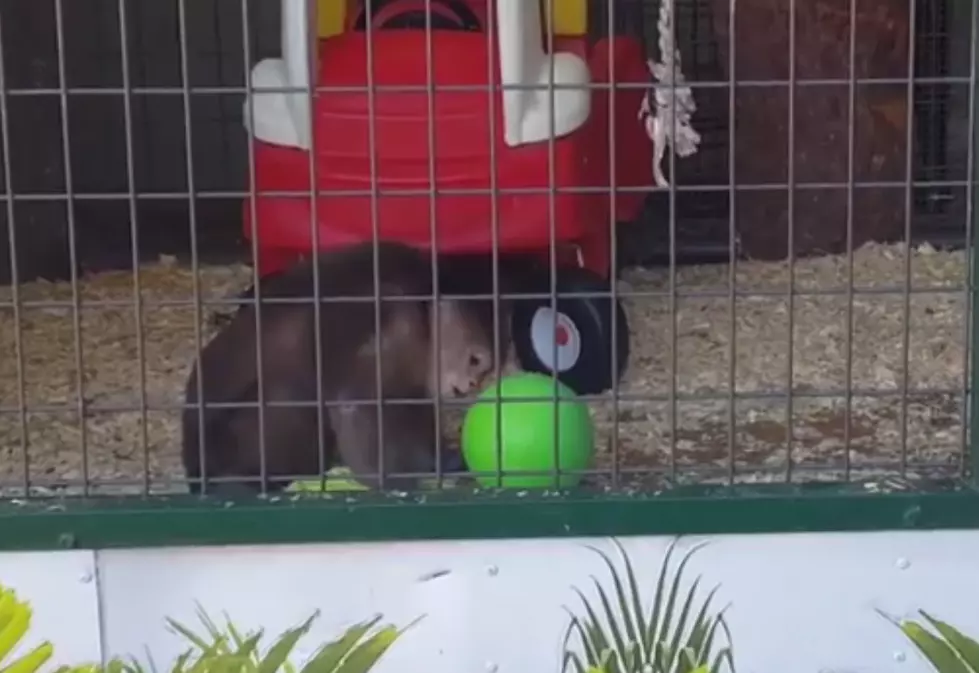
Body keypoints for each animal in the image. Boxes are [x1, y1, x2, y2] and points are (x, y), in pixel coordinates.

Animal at [181, 242, 512, 494]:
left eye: (482, 369)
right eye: (475, 360)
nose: (472, 384)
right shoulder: (395, 316)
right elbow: (358, 405)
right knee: (290, 391)